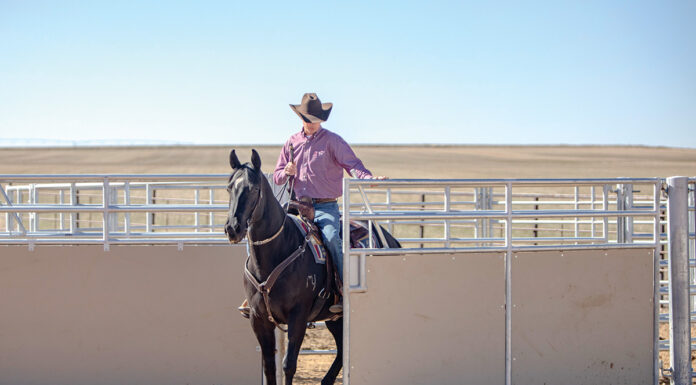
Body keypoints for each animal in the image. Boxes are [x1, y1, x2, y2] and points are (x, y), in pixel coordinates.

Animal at [223, 148, 396, 382]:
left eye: (254, 189)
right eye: (229, 187)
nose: (232, 228)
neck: (279, 248)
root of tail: (388, 238)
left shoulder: (298, 315)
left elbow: (288, 365)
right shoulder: (258, 319)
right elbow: (269, 367)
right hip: (335, 319)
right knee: (341, 350)